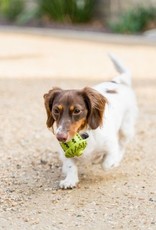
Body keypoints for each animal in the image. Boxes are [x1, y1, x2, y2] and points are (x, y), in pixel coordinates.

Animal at [43, 54, 138, 189]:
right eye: (56, 110)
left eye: (77, 110)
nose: (60, 137)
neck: (84, 132)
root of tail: (117, 81)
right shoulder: (64, 153)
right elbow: (70, 165)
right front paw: (69, 180)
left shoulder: (110, 146)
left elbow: (106, 163)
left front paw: (104, 160)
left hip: (126, 129)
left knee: (122, 145)